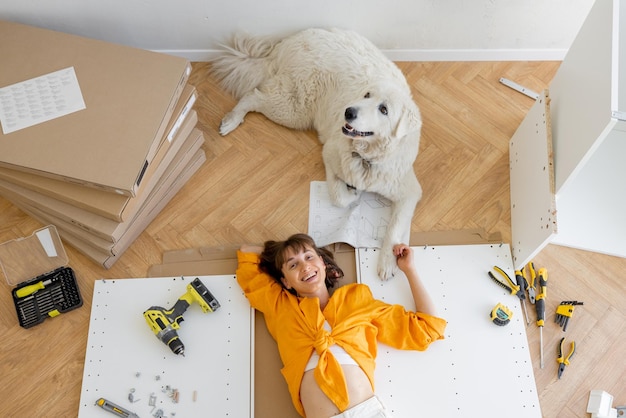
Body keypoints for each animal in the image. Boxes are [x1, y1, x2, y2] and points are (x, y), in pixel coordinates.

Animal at [212, 29, 422, 280]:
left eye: (384, 109)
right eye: (367, 95)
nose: (348, 112)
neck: (366, 156)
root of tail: (287, 42)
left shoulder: (408, 190)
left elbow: (396, 225)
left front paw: (388, 262)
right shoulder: (330, 154)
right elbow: (339, 196)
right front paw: (352, 193)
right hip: (293, 108)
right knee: (252, 95)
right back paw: (232, 120)